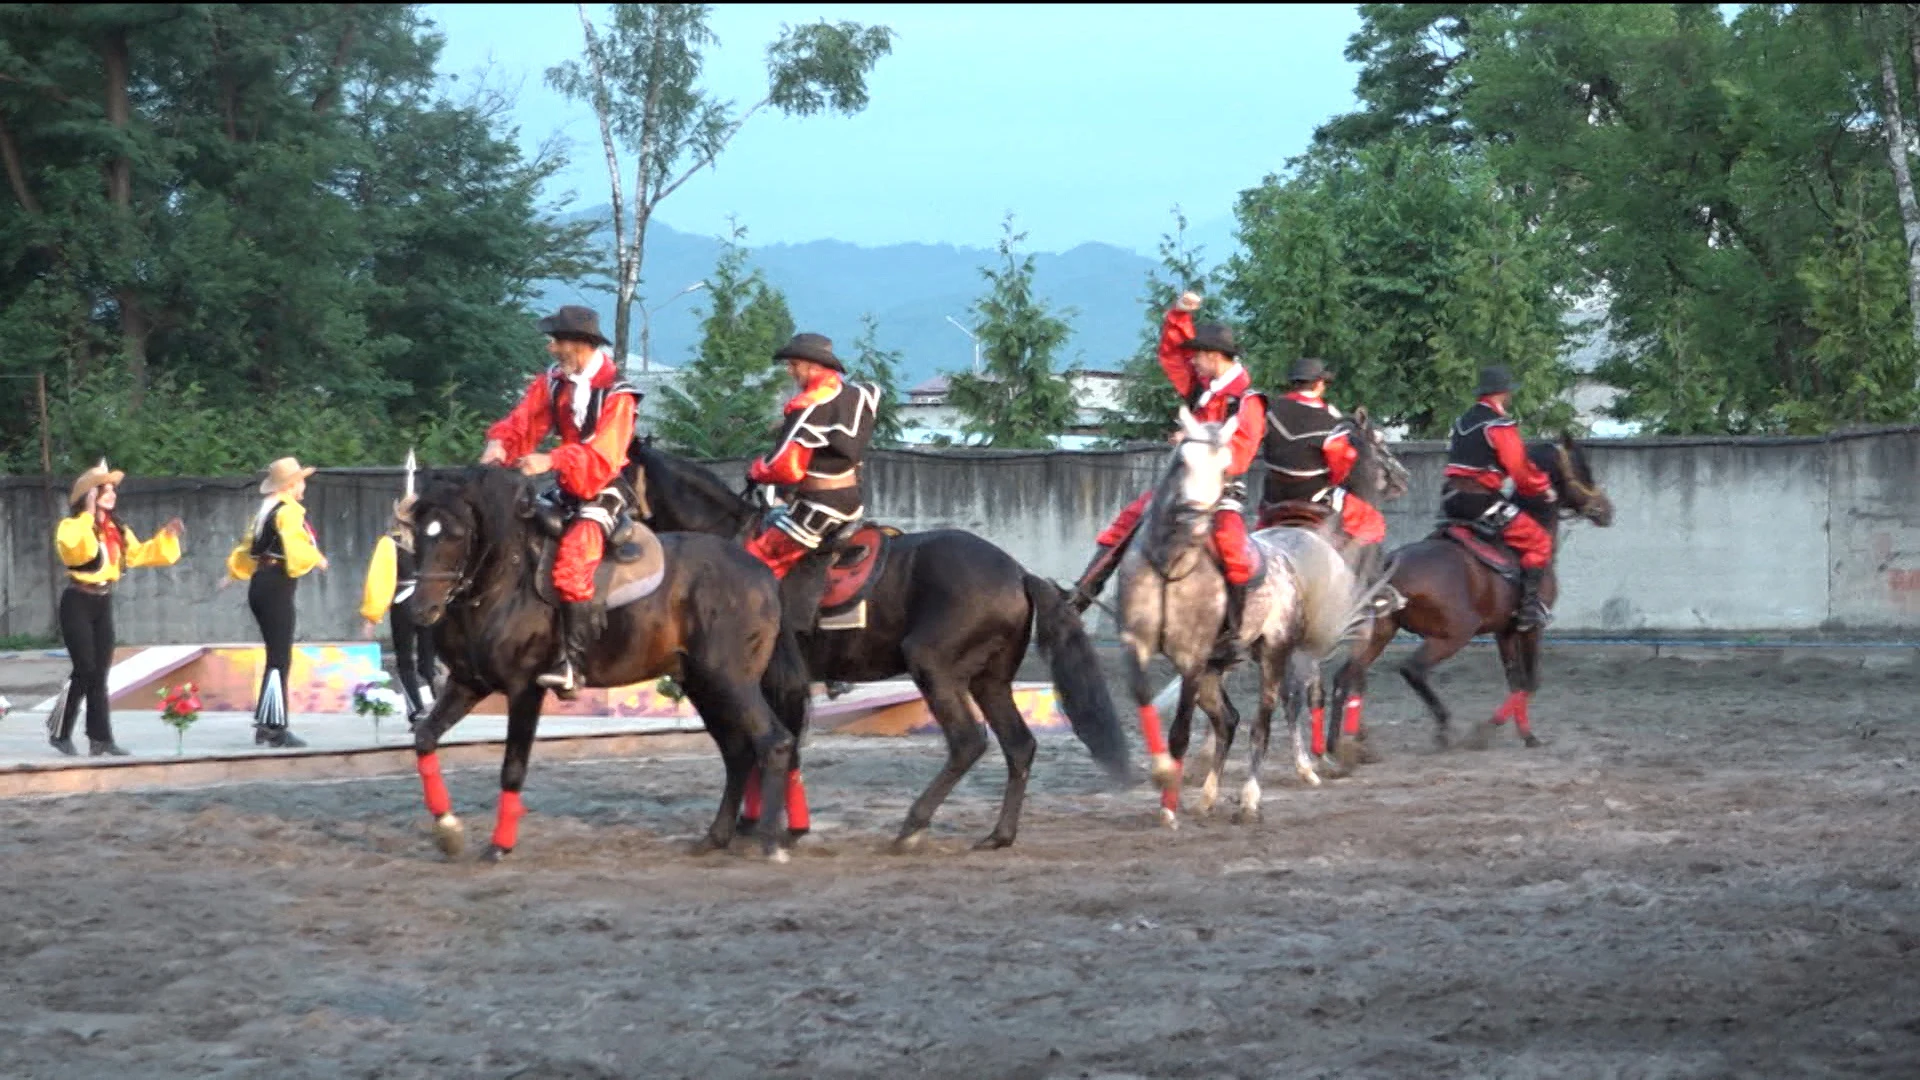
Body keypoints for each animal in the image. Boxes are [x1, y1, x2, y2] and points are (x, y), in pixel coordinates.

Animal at [412, 463, 810, 857]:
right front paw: (447, 828)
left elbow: (512, 768)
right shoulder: (467, 683)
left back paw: (771, 842)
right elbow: (425, 737)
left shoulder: (524, 689)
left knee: (774, 742)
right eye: (417, 532)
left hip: (732, 680)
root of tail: (762, 573)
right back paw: (717, 836)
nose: (422, 609)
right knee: (738, 752)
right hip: (705, 684)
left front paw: (499, 845)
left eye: (456, 534)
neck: (506, 583)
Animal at [629, 438, 1136, 849]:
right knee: (1019, 746)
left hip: (933, 666)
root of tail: (1016, 572)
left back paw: (913, 825)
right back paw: (999, 835)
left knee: (968, 741)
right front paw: (759, 822)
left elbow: (775, 743)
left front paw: (775, 826)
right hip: (989, 681)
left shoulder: (769, 679)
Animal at [1113, 405, 1367, 822]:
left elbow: (1180, 731)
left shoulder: (1191, 658)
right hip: (1216, 669)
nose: (1193, 520)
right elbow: (1143, 702)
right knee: (1227, 721)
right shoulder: (1137, 645)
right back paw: (1207, 798)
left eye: (1225, 468)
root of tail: (1290, 564)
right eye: (1183, 460)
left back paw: (1249, 798)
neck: (1170, 564)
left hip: (1271, 654)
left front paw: (1168, 806)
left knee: (1260, 723)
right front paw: (1163, 773)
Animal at [1328, 430, 1612, 757]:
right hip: (1453, 635)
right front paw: (1487, 730)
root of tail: (1389, 565)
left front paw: (1526, 734)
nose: (1606, 510)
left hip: (1380, 633)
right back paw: (1443, 728)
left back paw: (1338, 744)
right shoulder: (1531, 628)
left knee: (1346, 675)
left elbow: (1515, 681)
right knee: (1411, 669)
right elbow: (1531, 682)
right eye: (1583, 468)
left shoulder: (1505, 631)